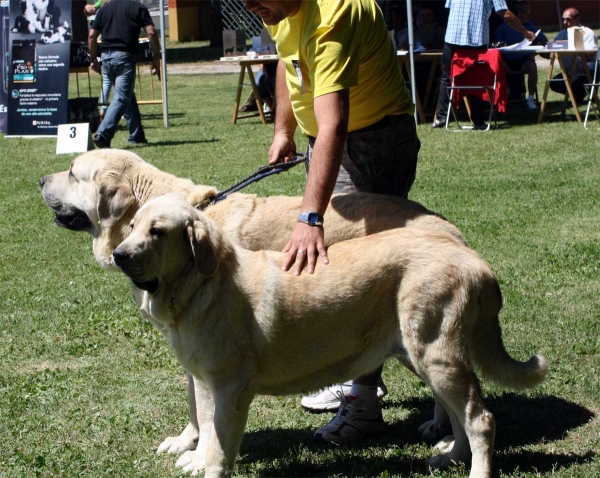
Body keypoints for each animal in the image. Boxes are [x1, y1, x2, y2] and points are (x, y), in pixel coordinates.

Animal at [112, 194, 548, 478]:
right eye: (131, 227)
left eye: (157, 232)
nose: (119, 255)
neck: (201, 285)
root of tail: (471, 257)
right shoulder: (205, 382)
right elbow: (204, 427)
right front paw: (195, 456)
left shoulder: (231, 389)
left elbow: (219, 447)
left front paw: (208, 466)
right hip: (423, 355)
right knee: (459, 415)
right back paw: (450, 457)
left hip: (435, 355)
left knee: (480, 418)